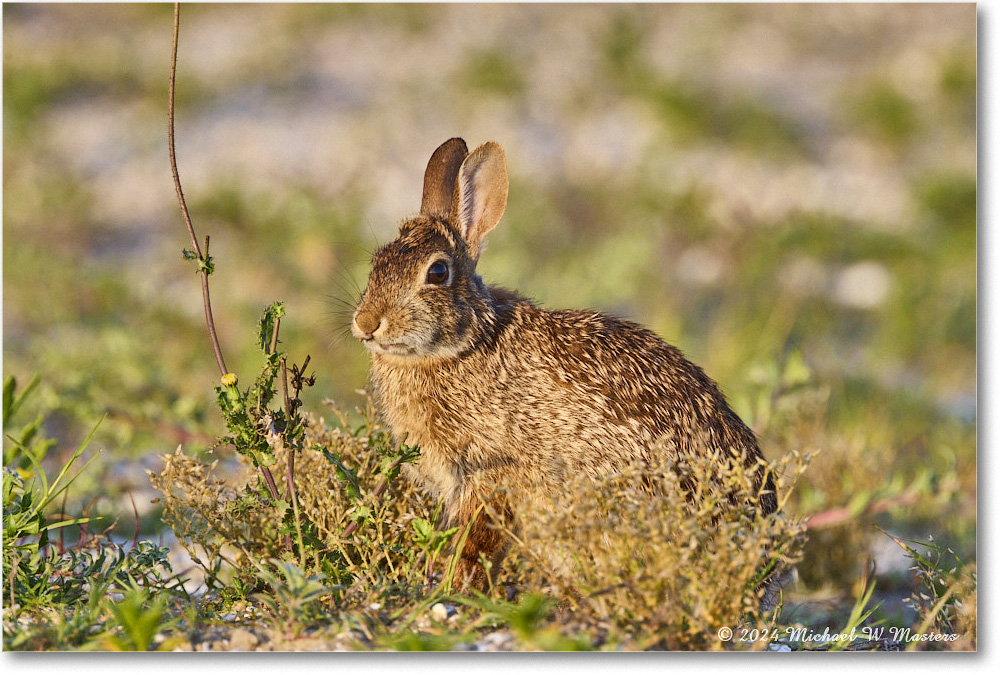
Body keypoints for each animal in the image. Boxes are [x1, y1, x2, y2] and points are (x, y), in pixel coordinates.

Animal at [354, 137, 780, 592]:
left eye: (437, 272)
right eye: (377, 261)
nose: (366, 323)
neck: (462, 345)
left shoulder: (492, 473)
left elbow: (477, 541)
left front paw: (460, 586)